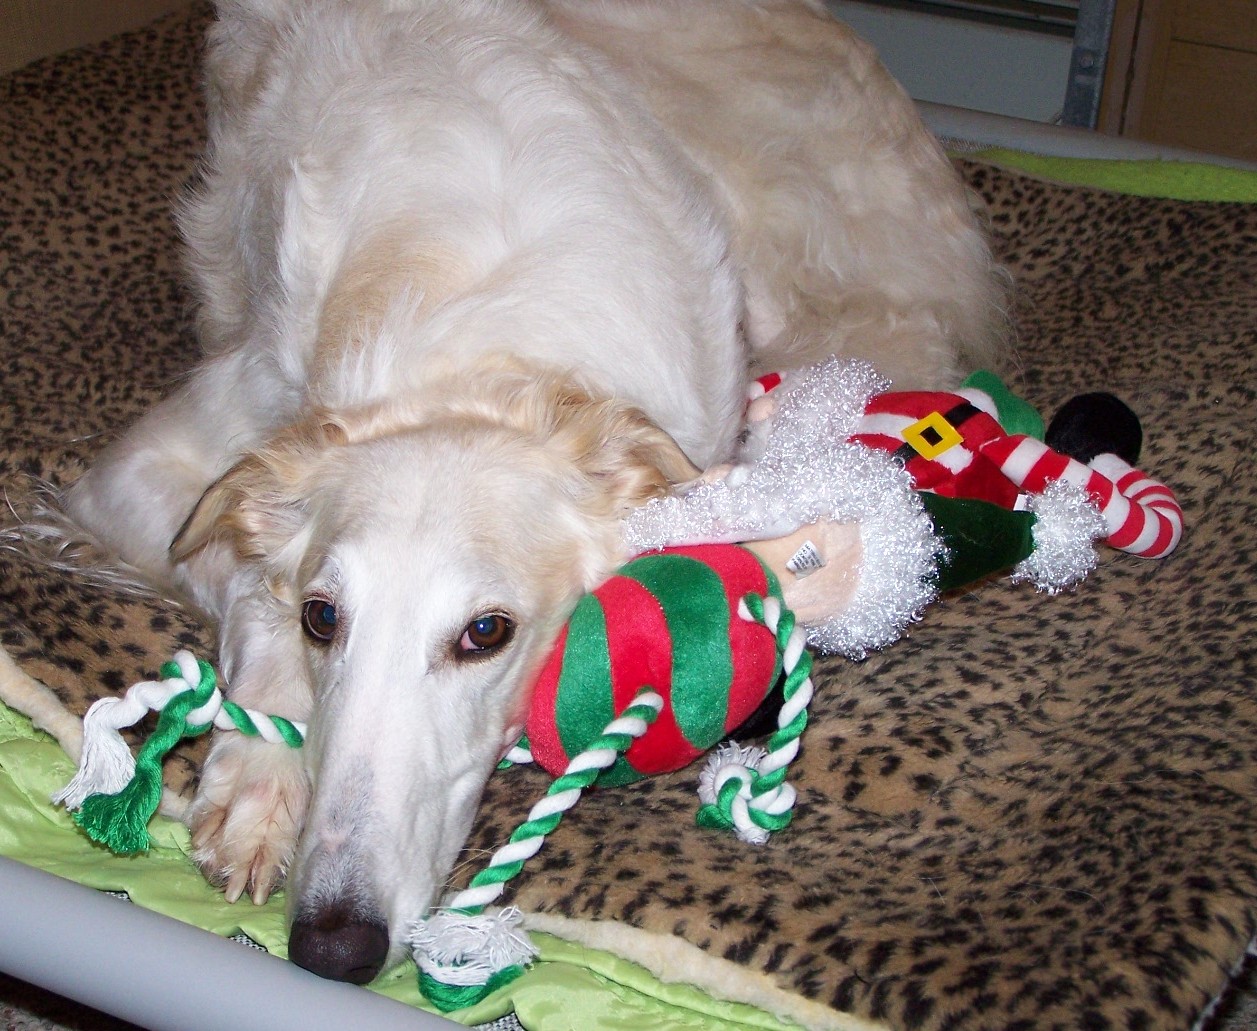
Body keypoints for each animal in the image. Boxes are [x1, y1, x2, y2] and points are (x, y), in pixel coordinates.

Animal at [59, 0, 1005, 985]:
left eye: (486, 633)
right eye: (324, 617)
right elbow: (253, 585)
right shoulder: (142, 472)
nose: (332, 946)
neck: (480, 354)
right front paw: (256, 780)